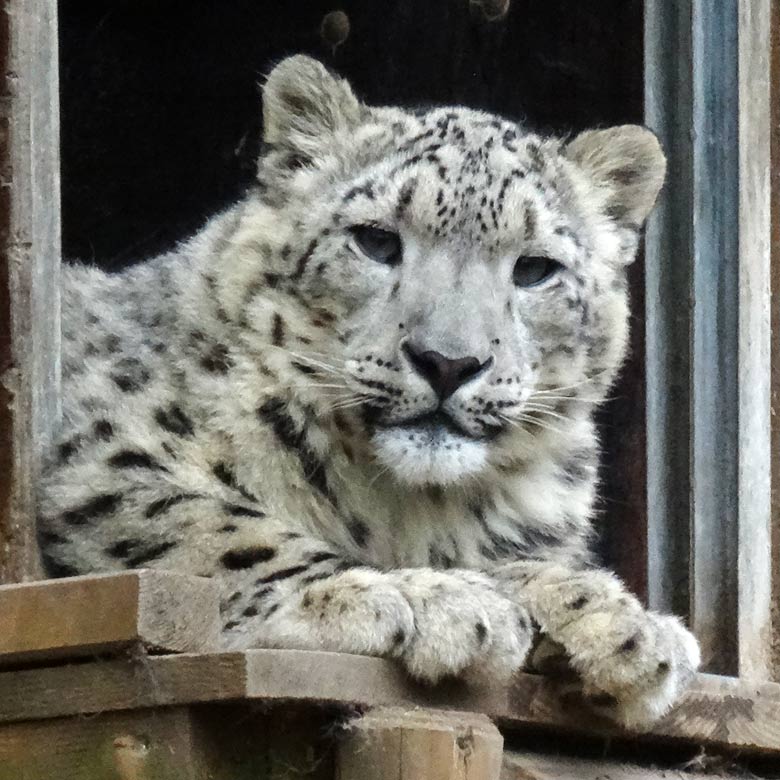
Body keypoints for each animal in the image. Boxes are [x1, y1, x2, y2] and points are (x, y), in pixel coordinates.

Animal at [36, 53, 696, 724]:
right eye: (376, 240)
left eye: (535, 268)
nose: (448, 362)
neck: (413, 506)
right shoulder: (103, 461)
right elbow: (224, 532)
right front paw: (428, 599)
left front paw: (623, 623)